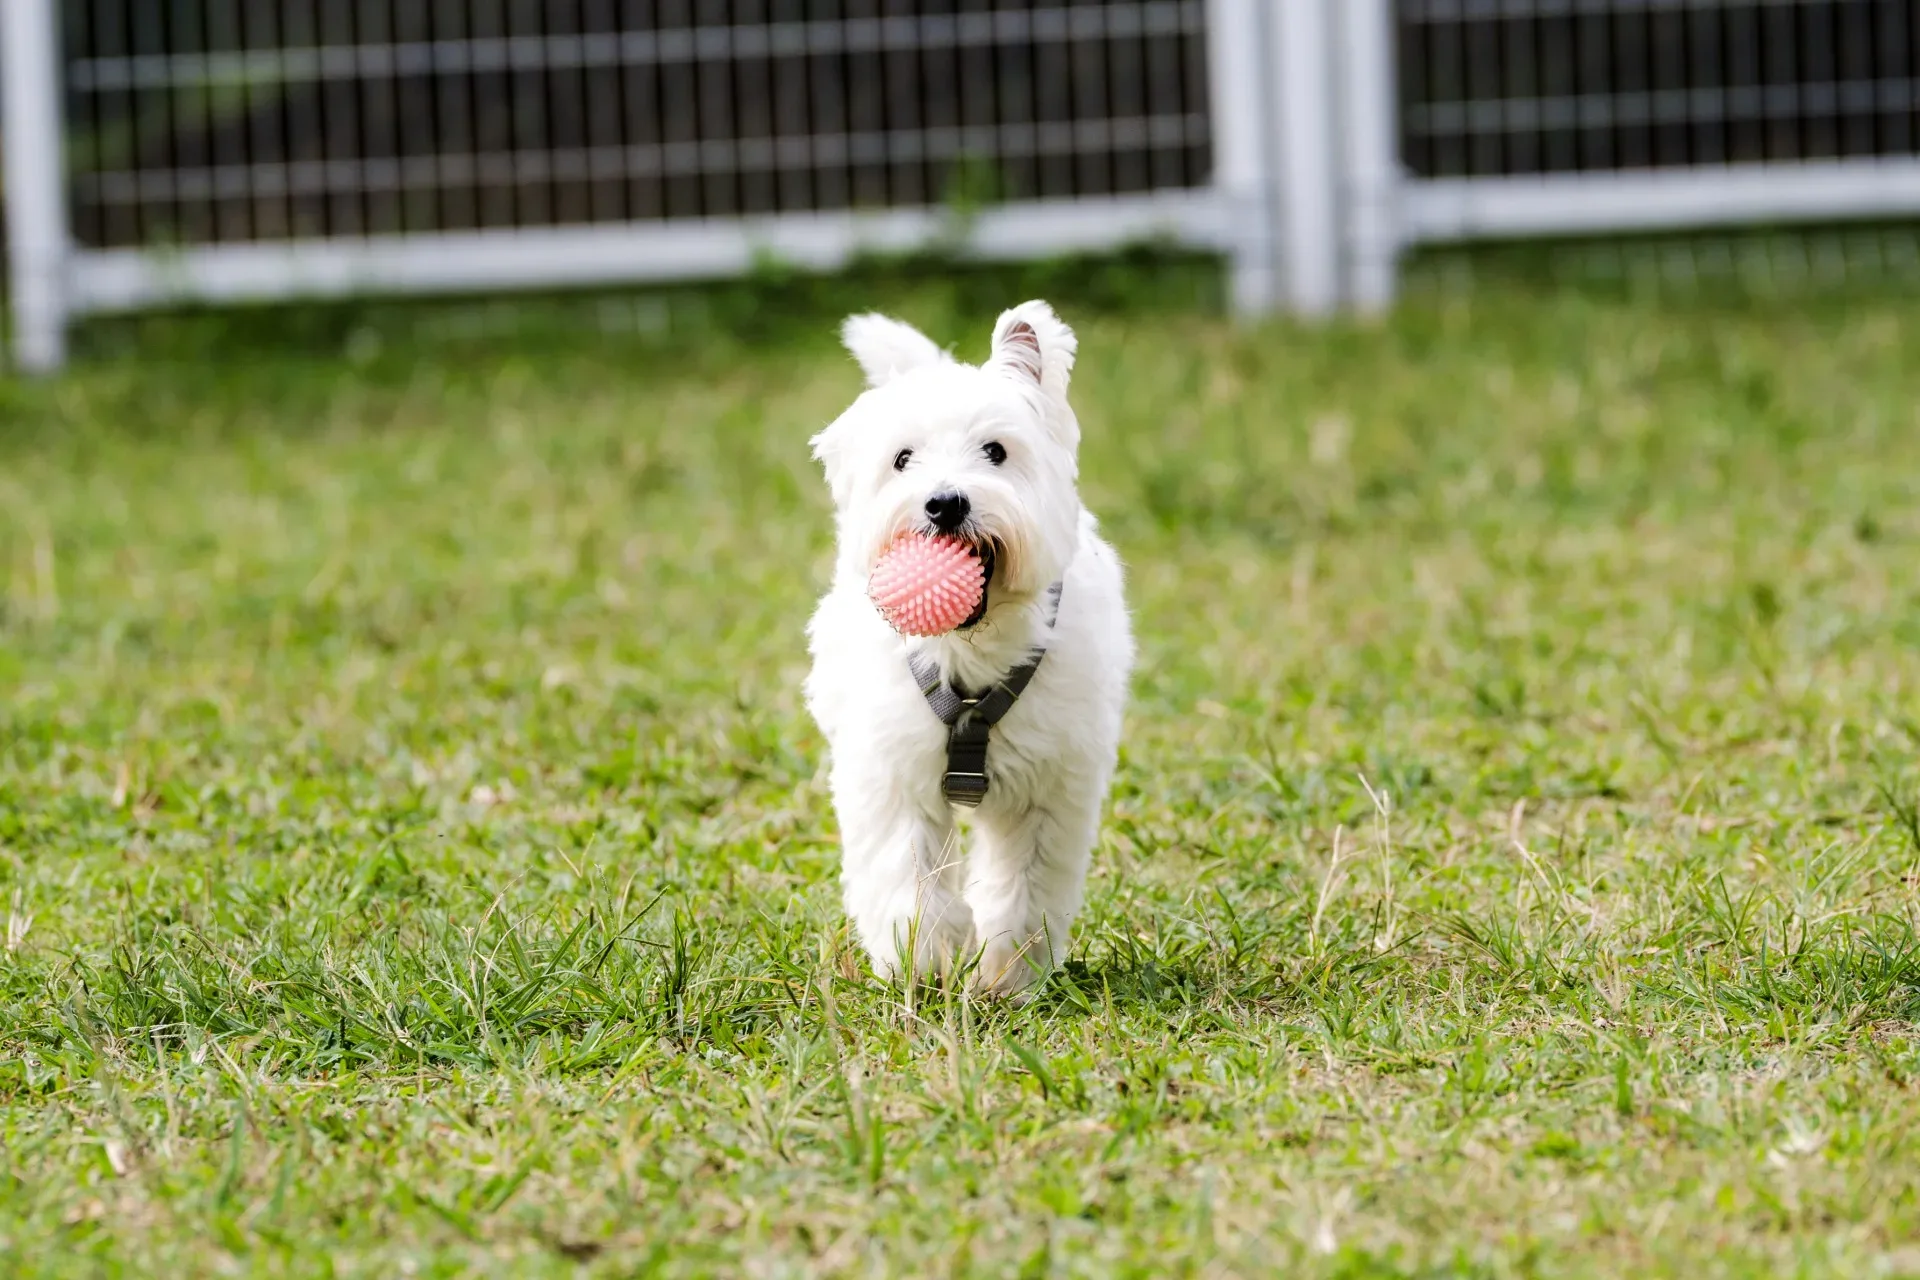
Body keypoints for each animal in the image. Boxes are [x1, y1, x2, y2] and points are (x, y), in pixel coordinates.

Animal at [802, 303, 1128, 997]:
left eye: (996, 451)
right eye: (902, 459)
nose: (945, 502)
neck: (973, 650)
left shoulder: (1050, 787)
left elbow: (1024, 887)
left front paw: (1010, 973)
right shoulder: (893, 772)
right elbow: (908, 877)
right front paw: (918, 961)